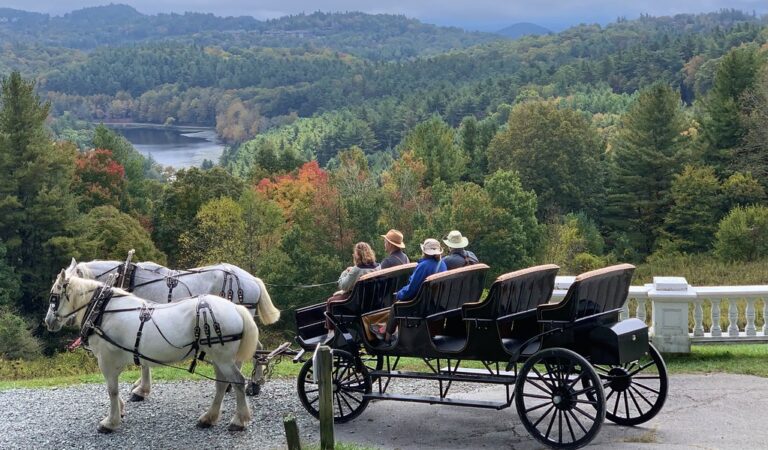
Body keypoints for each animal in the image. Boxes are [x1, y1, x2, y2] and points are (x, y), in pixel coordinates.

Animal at [45, 268, 258, 432]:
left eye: (54, 297)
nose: (48, 322)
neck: (103, 310)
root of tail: (235, 308)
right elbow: (114, 390)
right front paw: (120, 410)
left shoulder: (107, 360)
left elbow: (112, 390)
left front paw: (111, 422)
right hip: (218, 357)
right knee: (221, 385)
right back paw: (209, 418)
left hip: (223, 358)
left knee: (238, 382)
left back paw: (239, 420)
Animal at [63, 258, 280, 400]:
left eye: (68, 290)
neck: (129, 278)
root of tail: (252, 279)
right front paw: (140, 387)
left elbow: (143, 362)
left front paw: (141, 391)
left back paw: (249, 385)